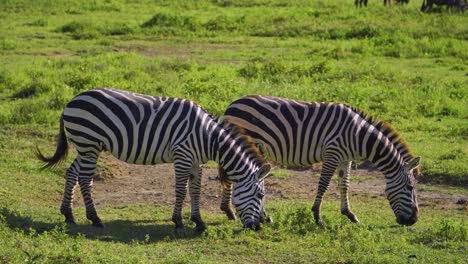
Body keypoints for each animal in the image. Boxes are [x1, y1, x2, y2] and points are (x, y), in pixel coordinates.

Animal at [35, 87, 270, 232]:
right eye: (260, 194)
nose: (258, 226)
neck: (208, 137)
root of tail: (71, 101)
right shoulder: (183, 156)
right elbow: (181, 190)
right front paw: (178, 222)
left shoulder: (196, 162)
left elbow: (195, 190)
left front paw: (199, 222)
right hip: (89, 144)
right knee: (84, 179)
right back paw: (95, 218)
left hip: (86, 147)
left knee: (72, 172)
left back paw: (68, 214)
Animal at [219, 96, 420, 226]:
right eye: (410, 187)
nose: (413, 221)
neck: (357, 134)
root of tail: (232, 104)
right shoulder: (332, 153)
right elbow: (323, 184)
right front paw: (317, 216)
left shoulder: (345, 158)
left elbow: (344, 185)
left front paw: (349, 214)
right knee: (229, 176)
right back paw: (230, 212)